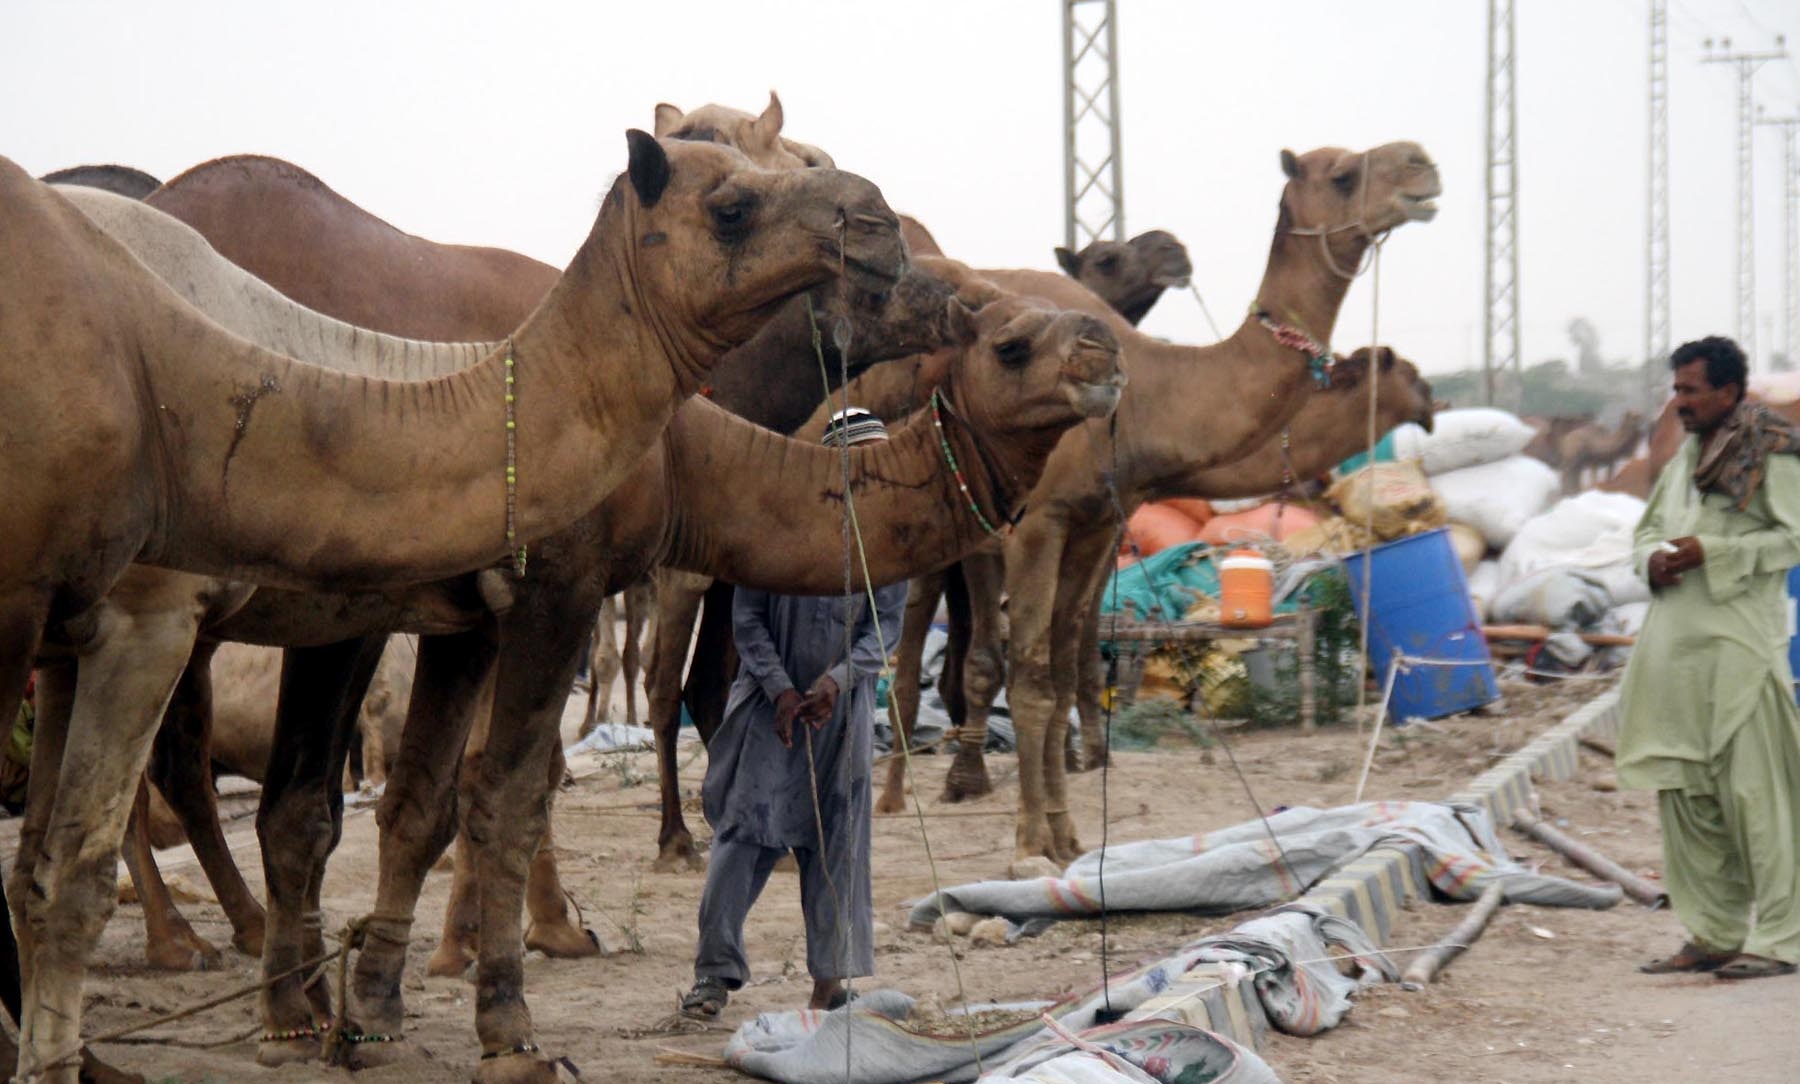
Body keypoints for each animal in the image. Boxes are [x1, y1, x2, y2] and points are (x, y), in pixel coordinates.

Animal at [2, 138, 904, 1084]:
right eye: (732, 205)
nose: (877, 220)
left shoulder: (446, 614)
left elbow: (409, 806)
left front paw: (361, 1008)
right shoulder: (520, 592)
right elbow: (424, 800)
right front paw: (493, 1015)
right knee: (148, 791)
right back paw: (186, 949)